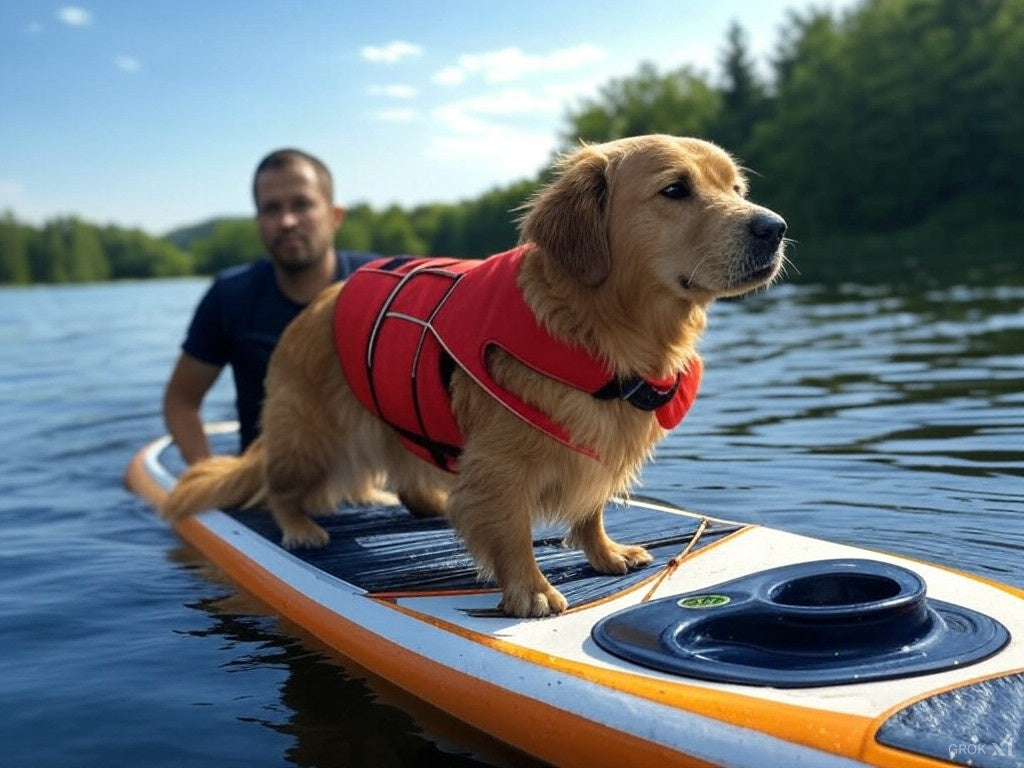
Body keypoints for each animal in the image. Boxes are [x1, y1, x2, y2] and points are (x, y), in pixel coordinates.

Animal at [161, 134, 782, 618]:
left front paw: (606, 554)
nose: (773, 227)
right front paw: (531, 590)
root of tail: (311, 306)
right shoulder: (500, 465)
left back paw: (430, 500)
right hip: (309, 436)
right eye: (675, 189)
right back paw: (301, 527)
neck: (600, 331)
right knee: (279, 488)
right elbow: (510, 528)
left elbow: (591, 507)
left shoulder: (596, 444)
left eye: (736, 189)